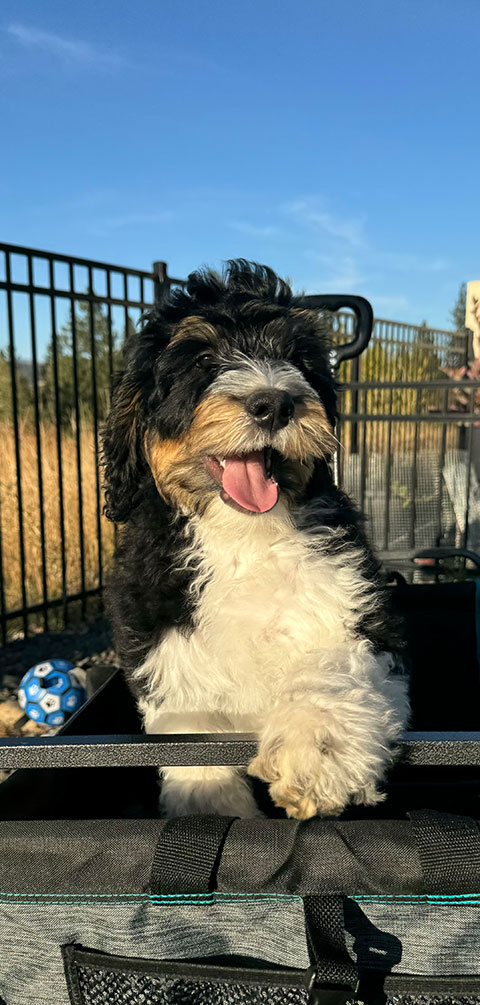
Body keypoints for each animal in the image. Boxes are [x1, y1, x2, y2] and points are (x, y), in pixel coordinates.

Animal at [102, 257, 407, 816]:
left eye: (296, 359)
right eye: (201, 359)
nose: (275, 403)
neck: (245, 538)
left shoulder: (356, 609)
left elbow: (334, 664)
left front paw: (316, 751)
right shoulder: (164, 646)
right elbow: (193, 741)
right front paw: (213, 807)